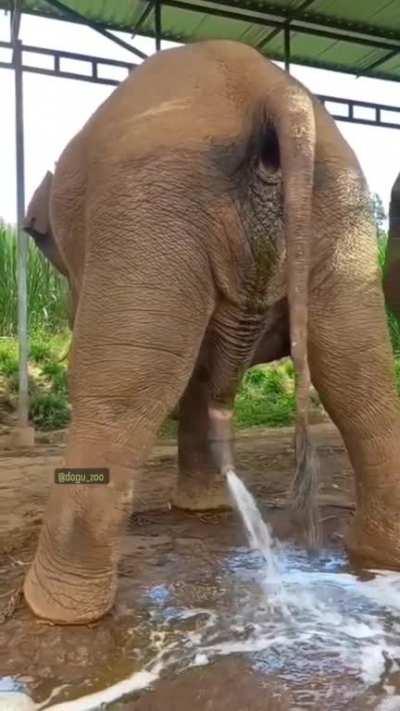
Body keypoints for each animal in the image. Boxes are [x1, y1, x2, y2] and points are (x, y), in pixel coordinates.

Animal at [22, 40, 400, 625]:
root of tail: (270, 91)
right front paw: (205, 506)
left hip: (151, 199)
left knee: (124, 382)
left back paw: (50, 609)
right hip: (340, 207)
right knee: (359, 369)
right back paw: (378, 559)